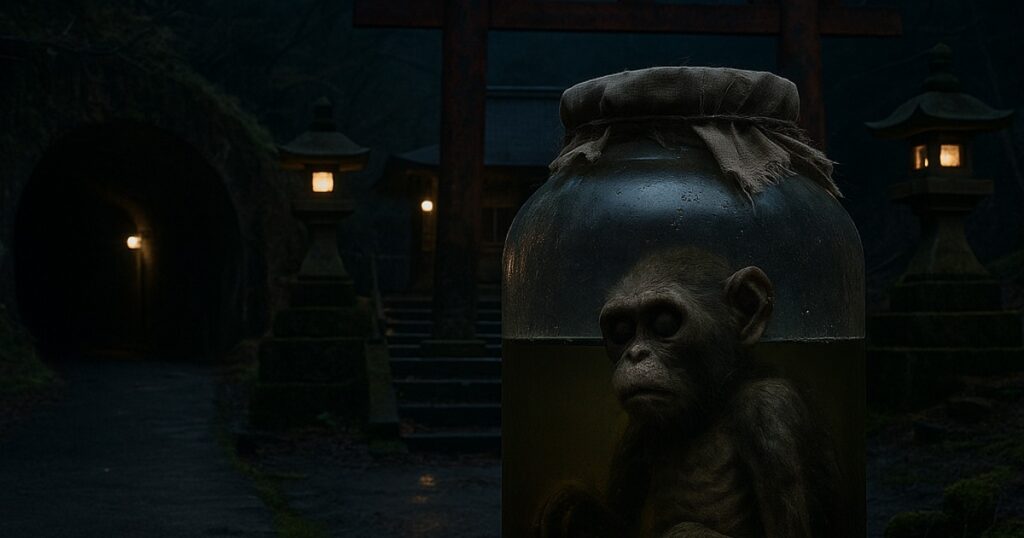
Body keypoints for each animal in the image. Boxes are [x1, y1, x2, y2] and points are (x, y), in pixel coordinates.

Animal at [534, 247, 847, 538]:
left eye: (664, 323)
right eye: (622, 330)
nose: (635, 354)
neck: (712, 408)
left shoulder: (770, 411)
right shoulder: (637, 430)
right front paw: (572, 507)